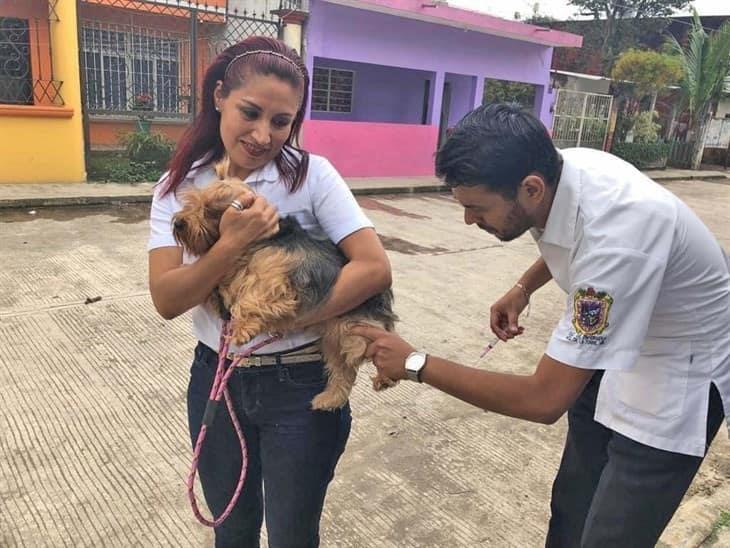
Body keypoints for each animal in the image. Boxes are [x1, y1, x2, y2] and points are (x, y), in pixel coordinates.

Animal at [171, 156, 398, 408]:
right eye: (194, 202)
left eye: (210, 210)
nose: (179, 223)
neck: (258, 241)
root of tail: (383, 295)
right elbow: (224, 293)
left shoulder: (276, 283)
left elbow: (247, 301)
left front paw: (241, 330)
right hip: (333, 338)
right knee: (343, 369)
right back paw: (328, 399)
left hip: (353, 328)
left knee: (374, 347)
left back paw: (386, 375)